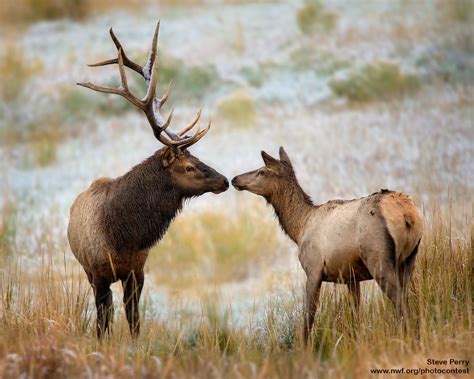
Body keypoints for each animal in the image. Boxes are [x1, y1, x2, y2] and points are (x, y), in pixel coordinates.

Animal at [67, 23, 229, 338]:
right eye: (190, 166)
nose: (224, 181)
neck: (122, 235)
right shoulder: (98, 272)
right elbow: (102, 322)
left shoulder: (137, 271)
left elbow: (134, 320)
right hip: (87, 271)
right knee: (104, 312)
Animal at [231, 147, 424, 342]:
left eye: (262, 171)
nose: (234, 179)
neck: (299, 228)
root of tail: (406, 213)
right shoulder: (351, 276)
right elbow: (356, 316)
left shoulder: (313, 268)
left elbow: (309, 318)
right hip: (410, 258)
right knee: (406, 298)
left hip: (378, 257)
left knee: (400, 302)